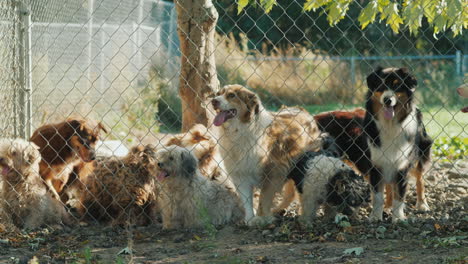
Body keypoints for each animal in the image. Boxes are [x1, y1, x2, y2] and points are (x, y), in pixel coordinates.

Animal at [209, 85, 322, 225]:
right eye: (218, 94)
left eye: (231, 95)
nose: (213, 101)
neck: (240, 130)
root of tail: (302, 110)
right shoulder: (241, 175)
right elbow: (247, 200)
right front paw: (250, 219)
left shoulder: (272, 173)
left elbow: (263, 199)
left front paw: (261, 218)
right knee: (290, 194)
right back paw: (278, 210)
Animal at [364, 67, 434, 222]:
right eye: (380, 85)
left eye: (397, 86)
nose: (387, 100)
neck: (390, 125)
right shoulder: (377, 163)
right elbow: (378, 195)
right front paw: (376, 216)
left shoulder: (403, 164)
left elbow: (400, 195)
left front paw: (398, 218)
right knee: (390, 186)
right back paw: (387, 206)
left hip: (421, 153)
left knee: (420, 178)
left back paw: (422, 204)